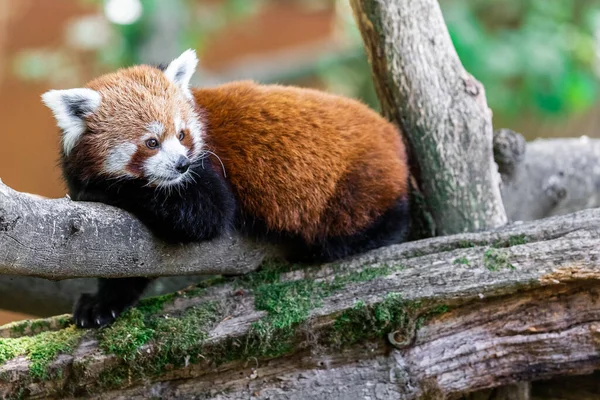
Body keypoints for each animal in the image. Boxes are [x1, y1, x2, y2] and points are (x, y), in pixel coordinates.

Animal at [41, 49, 408, 328]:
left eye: (182, 135)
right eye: (151, 142)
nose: (181, 165)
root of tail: (391, 135)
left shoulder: (206, 173)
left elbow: (206, 214)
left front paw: (102, 189)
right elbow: (126, 267)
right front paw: (103, 304)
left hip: (357, 184)